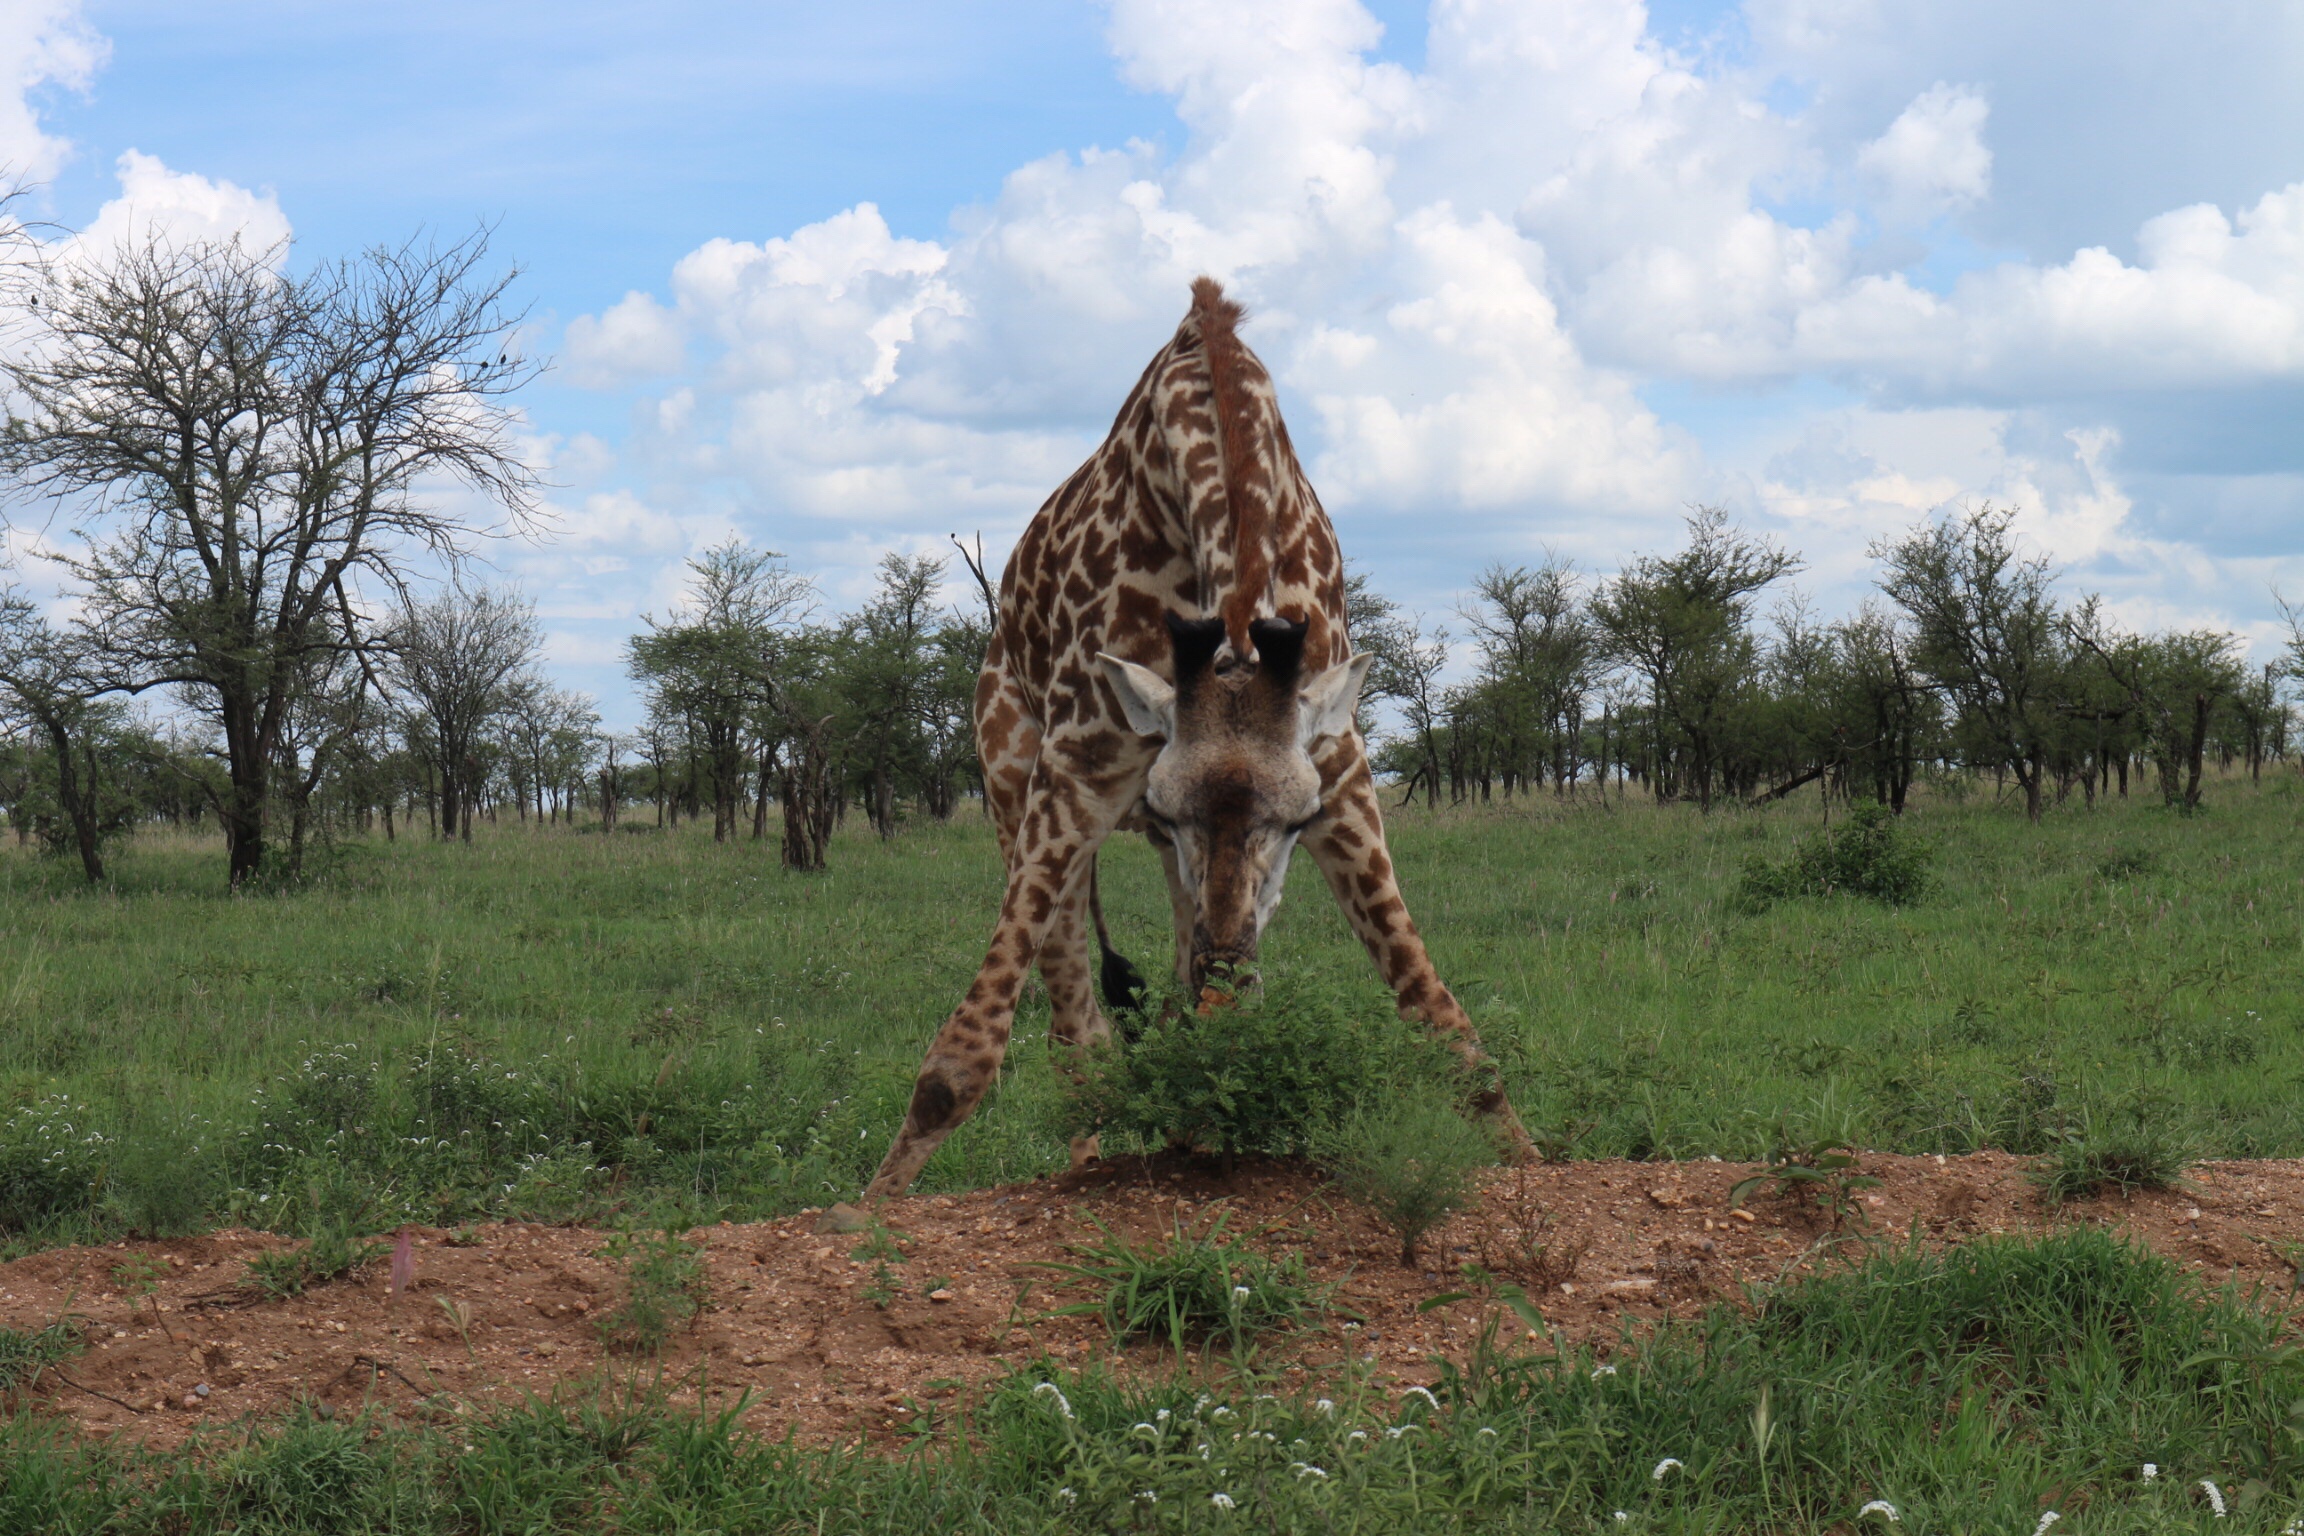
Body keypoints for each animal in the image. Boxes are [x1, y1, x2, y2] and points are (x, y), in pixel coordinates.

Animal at [862, 278, 1531, 1200]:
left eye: (1295, 821)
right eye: (1170, 809)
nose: (1227, 950)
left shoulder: (1339, 769)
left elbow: (1440, 1021)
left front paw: (1533, 1166)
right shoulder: (1082, 765)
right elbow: (958, 1063)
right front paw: (863, 1212)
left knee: (1164, 1003)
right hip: (1006, 773)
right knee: (1078, 1030)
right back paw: (1089, 1166)